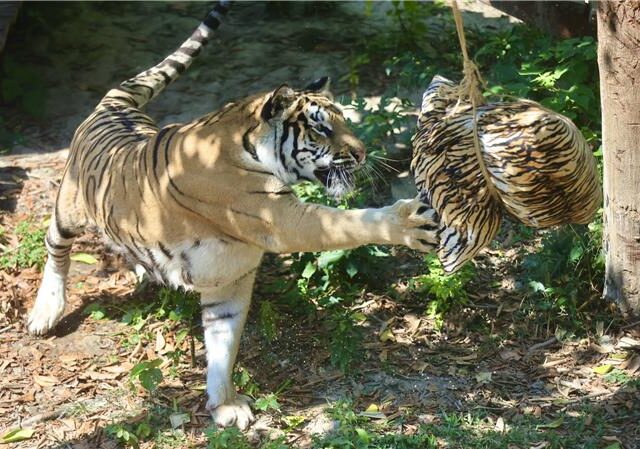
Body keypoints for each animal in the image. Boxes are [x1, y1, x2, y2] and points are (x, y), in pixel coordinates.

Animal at [27, 3, 440, 429]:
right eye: (322, 128)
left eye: (344, 121)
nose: (361, 153)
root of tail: (113, 104)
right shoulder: (280, 218)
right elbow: (348, 222)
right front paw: (408, 222)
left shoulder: (230, 279)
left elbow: (224, 346)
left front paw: (224, 404)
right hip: (68, 209)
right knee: (55, 249)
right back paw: (45, 311)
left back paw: (144, 271)